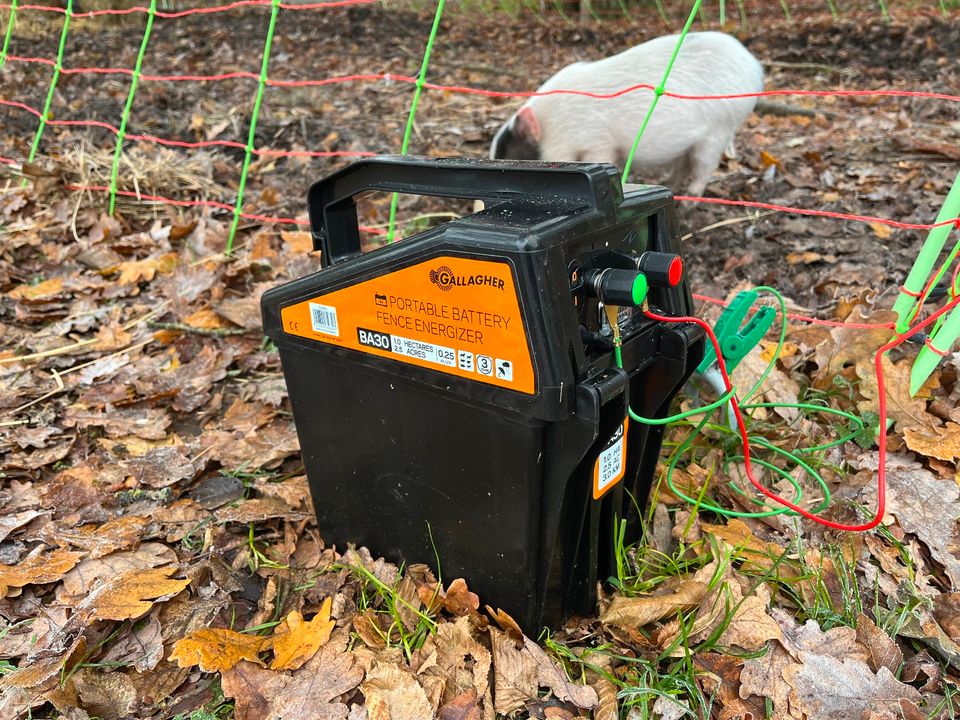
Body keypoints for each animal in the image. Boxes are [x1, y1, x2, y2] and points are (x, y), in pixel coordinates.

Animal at [492, 32, 760, 194]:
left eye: (516, 157)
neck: (554, 126)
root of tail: (754, 65)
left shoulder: (597, 142)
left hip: (720, 129)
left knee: (705, 166)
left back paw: (689, 200)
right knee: (684, 165)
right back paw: (667, 185)